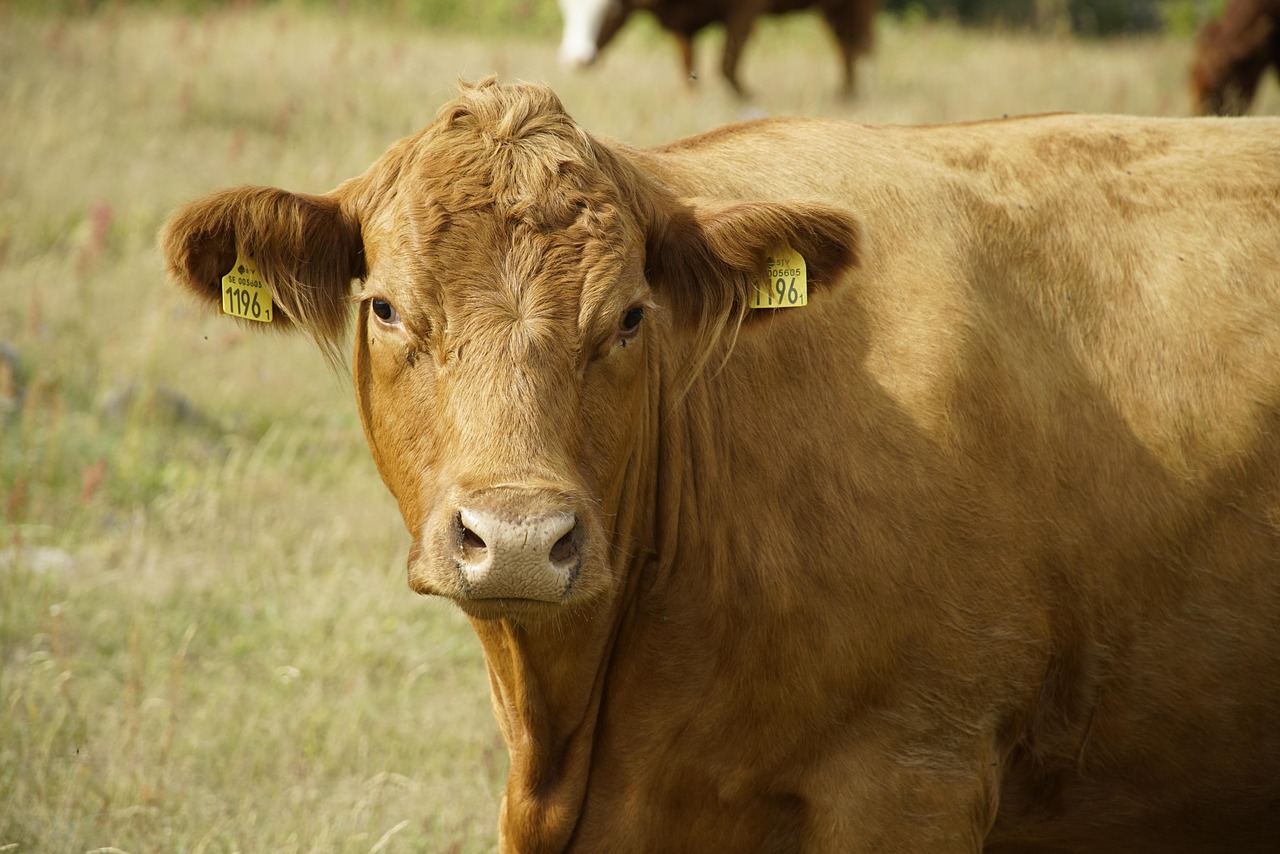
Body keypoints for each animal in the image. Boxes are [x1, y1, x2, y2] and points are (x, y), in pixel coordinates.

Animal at [557, 0, 878, 98]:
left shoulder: (744, 10)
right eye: (566, 11)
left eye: (609, 12)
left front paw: (748, 98)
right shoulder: (682, 22)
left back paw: (846, 93)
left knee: (850, 45)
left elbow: (727, 63)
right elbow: (687, 62)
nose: (577, 59)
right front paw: (691, 97)